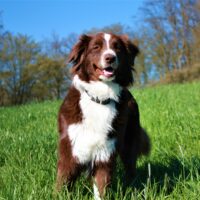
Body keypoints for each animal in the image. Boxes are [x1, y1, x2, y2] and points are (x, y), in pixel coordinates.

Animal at [56, 32, 150, 199]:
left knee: (131, 169)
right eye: (96, 47)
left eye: (117, 47)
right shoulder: (70, 150)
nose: (110, 58)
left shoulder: (105, 152)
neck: (100, 98)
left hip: (129, 143)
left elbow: (101, 186)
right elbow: (63, 183)